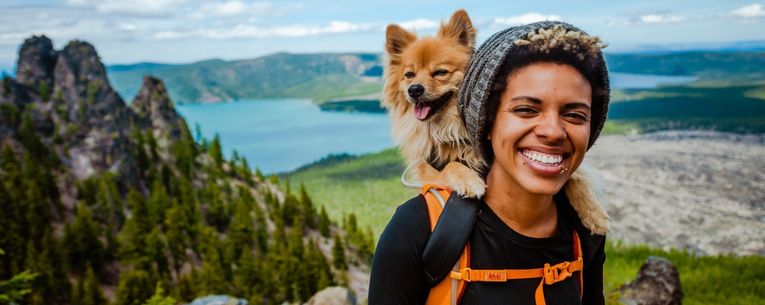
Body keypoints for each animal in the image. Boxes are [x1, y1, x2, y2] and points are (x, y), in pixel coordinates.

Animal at [384, 8, 486, 197]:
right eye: (409, 75)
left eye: (440, 72)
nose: (414, 90)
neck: (448, 128)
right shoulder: (429, 172)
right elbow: (452, 164)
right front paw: (468, 179)